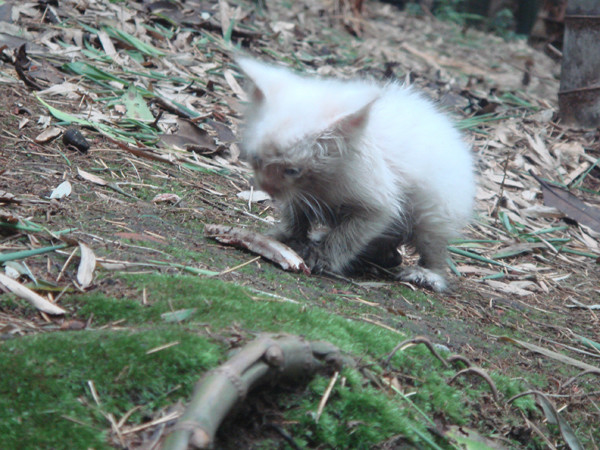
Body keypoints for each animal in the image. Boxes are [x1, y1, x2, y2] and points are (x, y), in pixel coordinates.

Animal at [237, 56, 476, 294]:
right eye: (256, 159)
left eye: (292, 170)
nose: (266, 187)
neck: (321, 180)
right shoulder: (300, 195)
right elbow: (296, 216)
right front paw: (285, 236)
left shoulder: (377, 207)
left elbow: (347, 236)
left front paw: (323, 258)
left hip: (434, 213)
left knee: (433, 246)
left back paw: (428, 275)